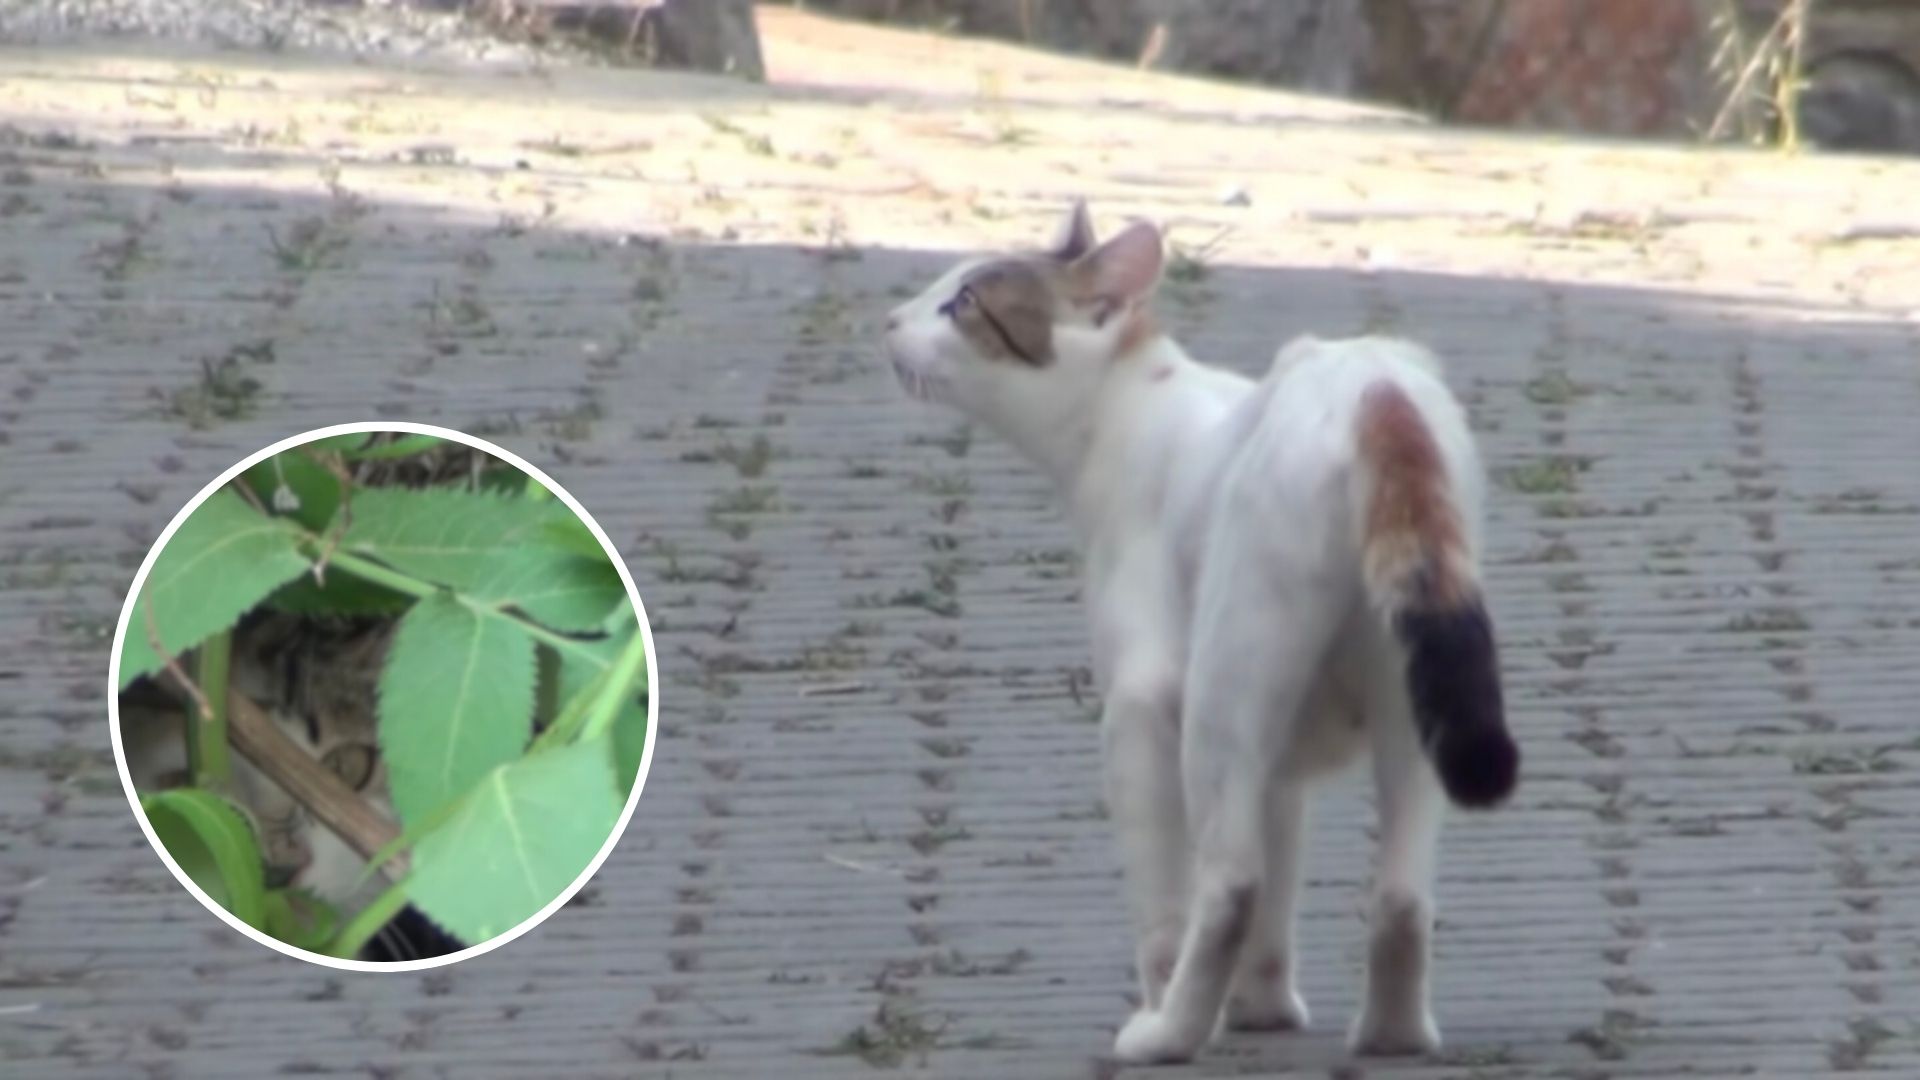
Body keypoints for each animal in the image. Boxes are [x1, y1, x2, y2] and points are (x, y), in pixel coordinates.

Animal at [879, 199, 1520, 1060]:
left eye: (963, 303)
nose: (889, 320)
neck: (1129, 412)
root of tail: (1373, 388)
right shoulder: (1279, 759)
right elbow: (1280, 888)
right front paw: (1263, 1009)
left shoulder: (1140, 709)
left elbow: (1167, 909)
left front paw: (1180, 1003)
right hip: (1413, 704)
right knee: (1400, 898)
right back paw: (1392, 1035)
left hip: (1222, 692)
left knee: (1229, 886)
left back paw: (1168, 1032)